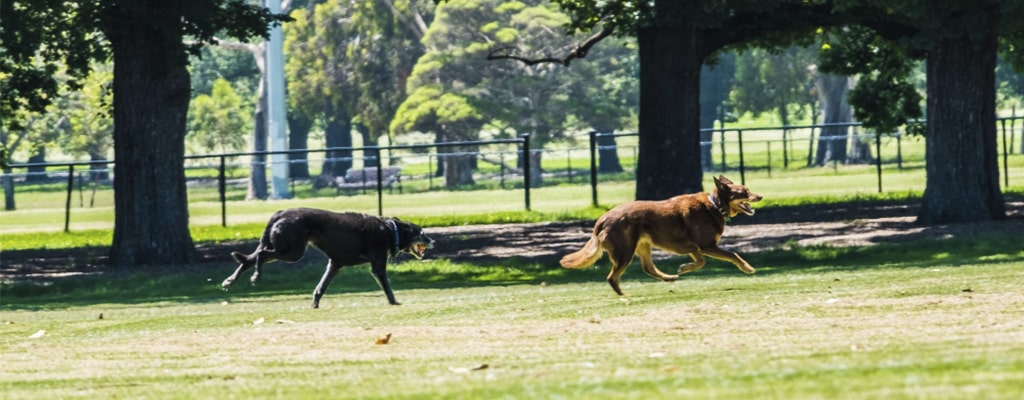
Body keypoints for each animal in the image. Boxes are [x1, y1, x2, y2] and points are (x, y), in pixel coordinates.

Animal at [222, 208, 434, 308]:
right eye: (422, 233)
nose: (433, 241)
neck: (391, 231)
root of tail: (280, 213)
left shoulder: (335, 264)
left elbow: (320, 288)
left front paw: (315, 305)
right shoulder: (378, 266)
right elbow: (387, 288)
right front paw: (394, 302)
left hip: (285, 248)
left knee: (249, 259)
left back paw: (230, 281)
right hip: (292, 252)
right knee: (261, 255)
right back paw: (256, 276)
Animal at [561, 175, 761, 296]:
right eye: (744, 191)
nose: (760, 196)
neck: (715, 205)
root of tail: (601, 220)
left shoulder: (694, 248)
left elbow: (701, 261)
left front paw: (684, 268)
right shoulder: (706, 246)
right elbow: (732, 255)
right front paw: (748, 268)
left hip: (642, 245)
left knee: (648, 267)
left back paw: (669, 277)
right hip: (625, 250)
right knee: (612, 277)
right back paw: (624, 295)